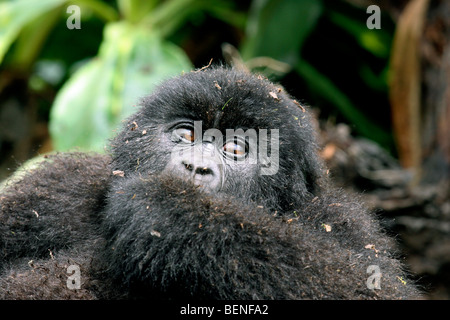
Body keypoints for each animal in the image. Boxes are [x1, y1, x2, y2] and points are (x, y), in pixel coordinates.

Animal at [0, 66, 418, 298]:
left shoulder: (341, 219)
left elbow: (370, 285)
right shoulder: (61, 184)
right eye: (186, 134)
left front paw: (170, 213)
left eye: (234, 148)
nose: (194, 168)